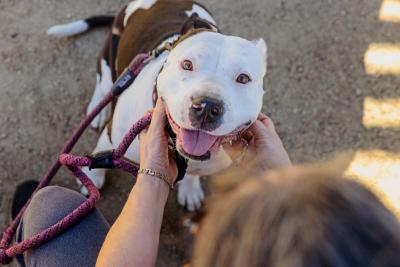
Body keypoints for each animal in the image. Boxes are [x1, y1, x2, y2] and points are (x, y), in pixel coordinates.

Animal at [47, 0, 266, 214]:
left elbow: (193, 174)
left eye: (243, 78)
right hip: (109, 58)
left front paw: (190, 189)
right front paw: (92, 178)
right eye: (187, 64)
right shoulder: (111, 139)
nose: (206, 106)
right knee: (104, 84)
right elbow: (101, 155)